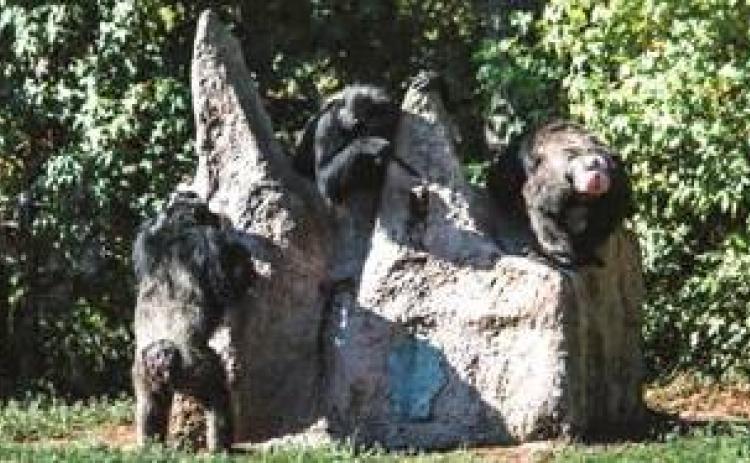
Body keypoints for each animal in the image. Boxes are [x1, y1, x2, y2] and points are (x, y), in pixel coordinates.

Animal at [131, 190, 255, 451]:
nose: (214, 215)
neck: (176, 226)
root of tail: (160, 356)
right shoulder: (209, 241)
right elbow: (230, 283)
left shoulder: (145, 235)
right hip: (192, 365)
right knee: (218, 398)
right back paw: (222, 447)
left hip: (143, 371)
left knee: (149, 407)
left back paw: (151, 446)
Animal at [487, 120, 632, 267]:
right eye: (591, 166)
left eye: (601, 167)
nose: (597, 175)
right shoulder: (556, 179)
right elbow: (545, 210)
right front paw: (560, 252)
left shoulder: (617, 184)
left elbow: (604, 220)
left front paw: (584, 251)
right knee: (505, 180)